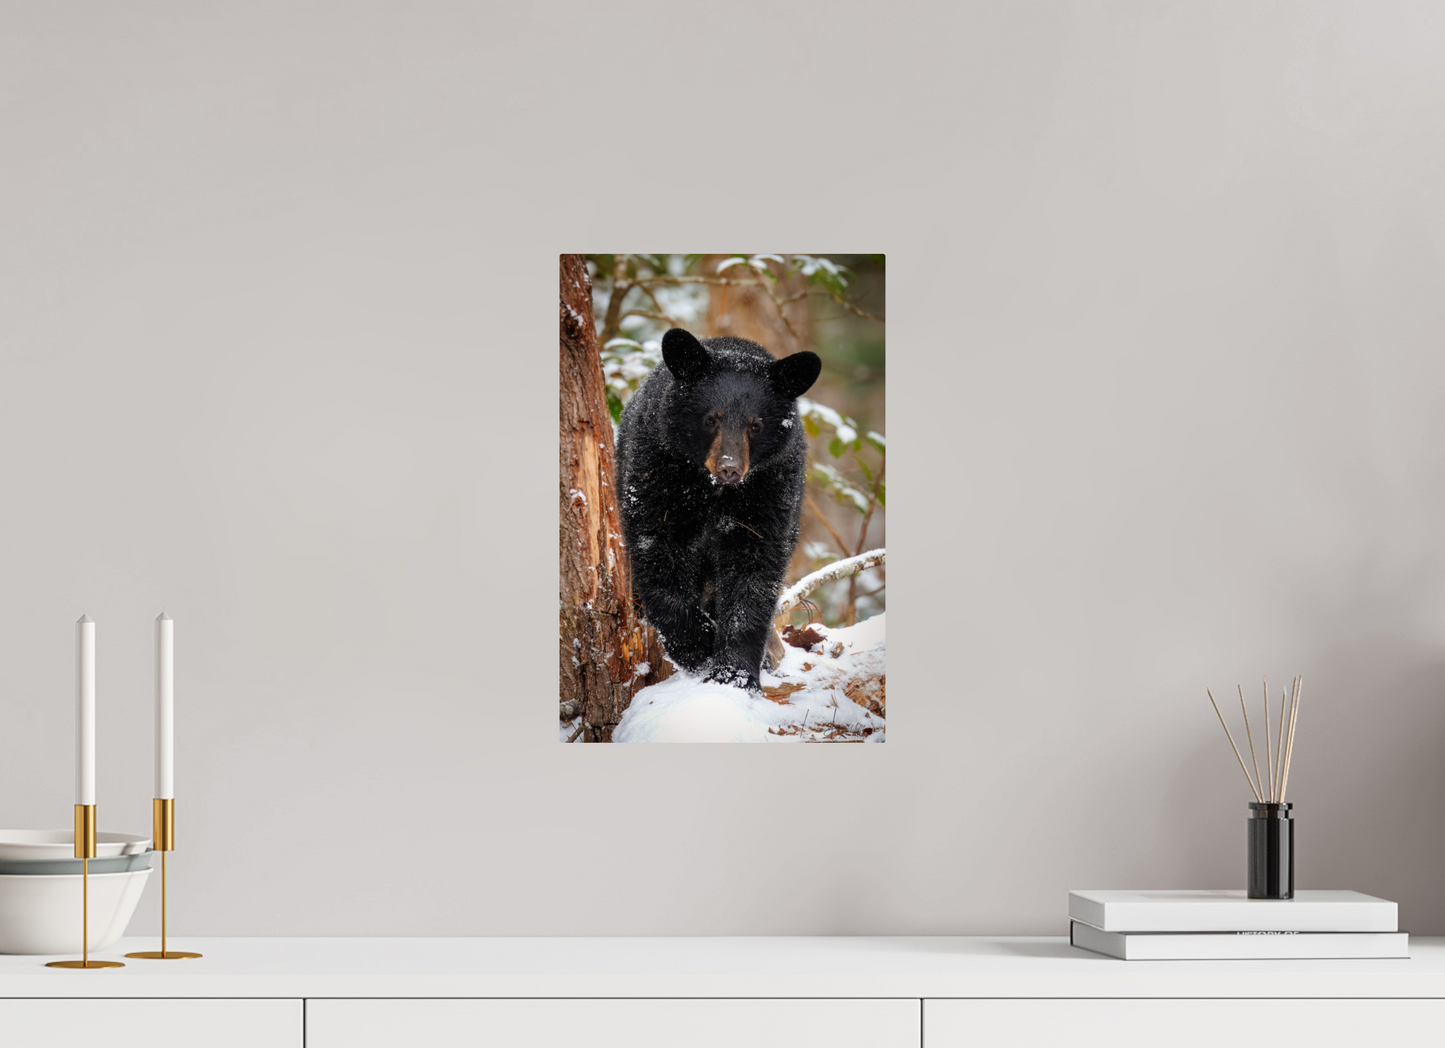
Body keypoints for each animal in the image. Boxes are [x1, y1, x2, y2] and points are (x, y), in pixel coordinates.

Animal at [616, 327, 822, 693]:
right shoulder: (656, 470)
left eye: (755, 425)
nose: (730, 468)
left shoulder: (771, 486)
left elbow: (754, 569)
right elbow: (657, 549)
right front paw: (698, 648)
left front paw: (734, 674)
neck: (713, 490)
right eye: (711, 419)